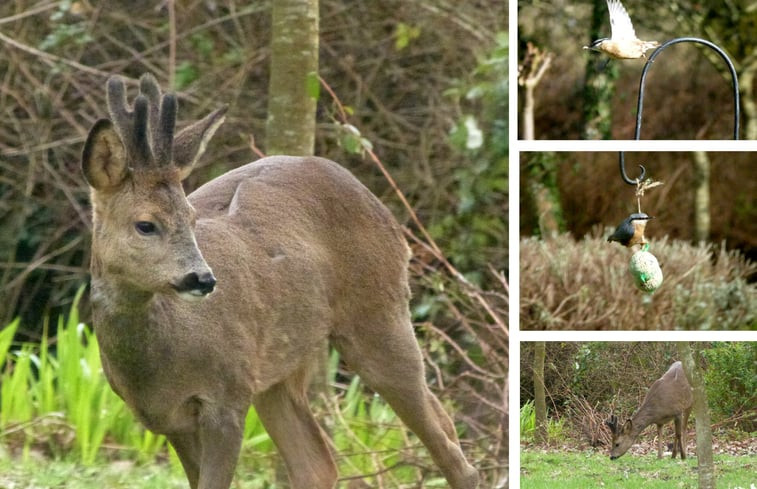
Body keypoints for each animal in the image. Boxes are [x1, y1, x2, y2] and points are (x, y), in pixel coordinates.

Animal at [81, 73, 478, 488]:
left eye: (191, 217)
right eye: (145, 224)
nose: (202, 279)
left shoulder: (228, 396)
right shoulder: (171, 421)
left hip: (379, 312)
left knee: (449, 449)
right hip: (280, 365)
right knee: (321, 462)